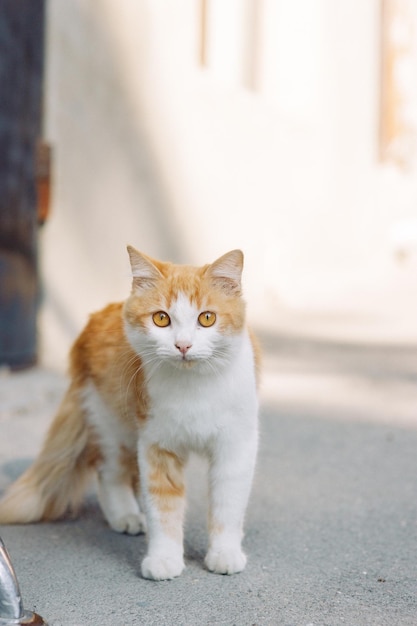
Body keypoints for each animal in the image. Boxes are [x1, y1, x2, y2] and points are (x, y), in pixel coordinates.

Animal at [0, 245, 260, 580]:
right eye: (161, 319)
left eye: (207, 318)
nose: (183, 346)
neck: (194, 386)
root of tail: (94, 319)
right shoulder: (157, 445)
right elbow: (163, 508)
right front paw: (164, 559)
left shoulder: (235, 446)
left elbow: (227, 506)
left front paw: (224, 553)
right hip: (113, 428)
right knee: (109, 473)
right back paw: (125, 515)